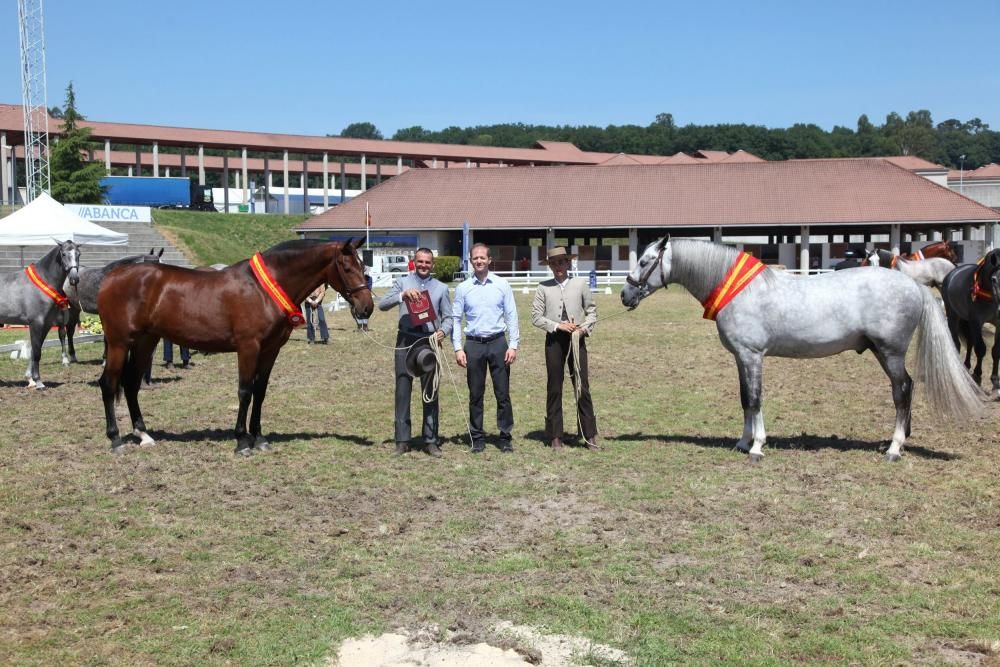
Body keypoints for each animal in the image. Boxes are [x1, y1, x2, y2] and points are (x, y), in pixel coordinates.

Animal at [0, 240, 81, 388]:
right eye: (64, 254)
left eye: (78, 254)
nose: (74, 279)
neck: (44, 281)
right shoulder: (36, 323)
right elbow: (37, 352)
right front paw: (38, 382)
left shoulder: (47, 324)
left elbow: (34, 351)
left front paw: (30, 379)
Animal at [97, 239, 374, 454]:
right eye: (346, 267)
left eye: (363, 266)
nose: (367, 308)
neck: (262, 289)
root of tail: (111, 277)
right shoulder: (248, 347)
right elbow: (245, 391)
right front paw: (241, 441)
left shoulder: (271, 350)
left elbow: (260, 392)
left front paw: (259, 438)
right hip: (119, 343)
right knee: (109, 384)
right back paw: (116, 439)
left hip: (145, 341)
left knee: (131, 384)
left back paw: (143, 435)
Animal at [620, 239, 980, 464]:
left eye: (645, 261)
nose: (625, 294)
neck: (742, 290)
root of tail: (914, 286)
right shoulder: (741, 357)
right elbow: (744, 398)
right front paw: (742, 442)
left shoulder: (753, 355)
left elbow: (755, 399)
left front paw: (757, 447)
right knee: (907, 388)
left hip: (890, 352)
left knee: (902, 390)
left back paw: (894, 448)